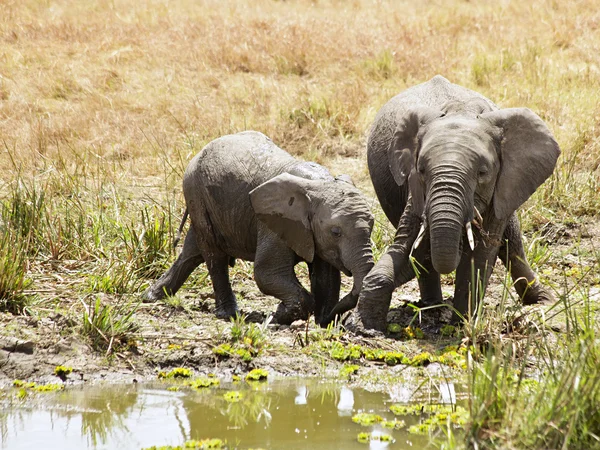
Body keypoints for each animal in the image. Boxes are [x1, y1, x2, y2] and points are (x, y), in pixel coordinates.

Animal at [144, 132, 376, 326]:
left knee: (193, 252)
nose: (341, 318)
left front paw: (321, 322)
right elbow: (266, 273)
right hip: (196, 192)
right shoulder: (273, 222)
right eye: (336, 232)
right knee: (214, 255)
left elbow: (326, 280)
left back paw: (150, 297)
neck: (317, 185)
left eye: (372, 225)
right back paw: (228, 314)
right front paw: (279, 316)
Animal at [346, 75, 564, 332]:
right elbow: (404, 244)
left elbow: (480, 254)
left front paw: (461, 326)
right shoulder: (414, 188)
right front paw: (363, 326)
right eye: (421, 170)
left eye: (482, 173)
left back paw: (542, 302)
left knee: (512, 241)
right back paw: (431, 308)